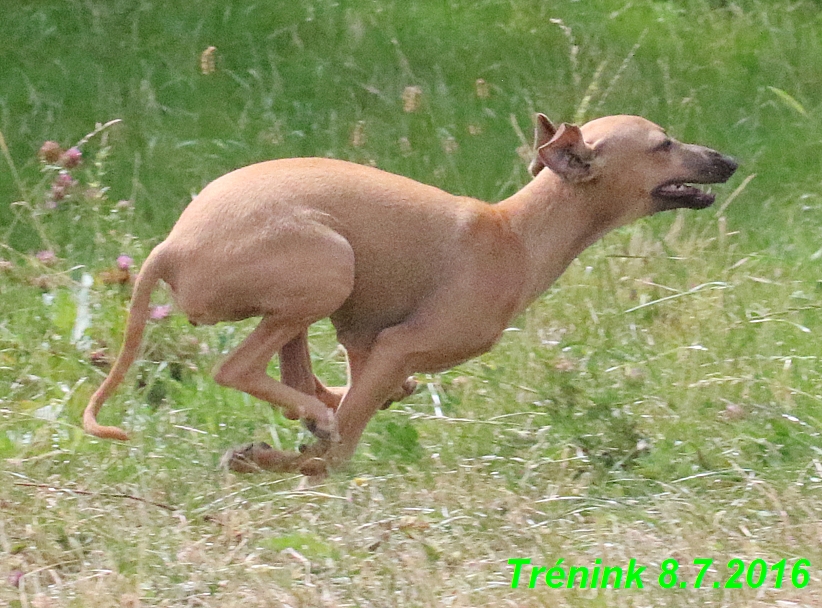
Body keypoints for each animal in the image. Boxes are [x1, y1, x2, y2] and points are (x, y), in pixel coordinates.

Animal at [85, 114, 740, 476]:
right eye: (663, 144)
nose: (730, 160)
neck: (516, 234)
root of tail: (170, 247)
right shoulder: (401, 345)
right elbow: (334, 454)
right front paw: (275, 459)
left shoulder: (366, 340)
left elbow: (354, 388)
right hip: (330, 265)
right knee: (241, 371)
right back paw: (304, 427)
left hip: (313, 297)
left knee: (297, 380)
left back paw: (317, 408)